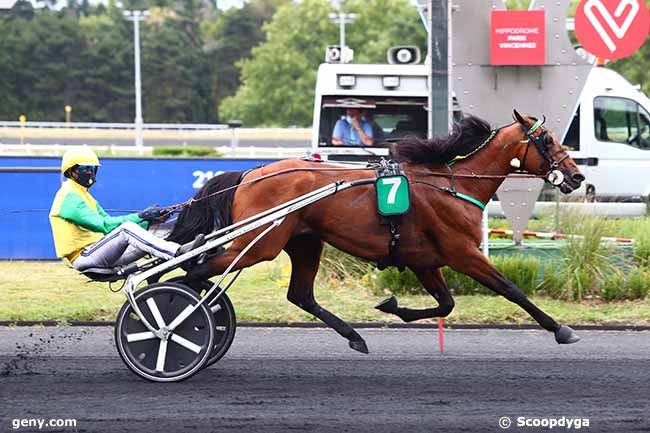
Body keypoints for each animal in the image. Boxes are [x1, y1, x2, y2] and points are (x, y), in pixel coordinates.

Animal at [166, 109, 584, 352]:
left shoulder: (424, 260)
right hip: (260, 245)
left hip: (304, 242)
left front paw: (392, 305)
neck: (453, 185)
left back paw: (354, 336)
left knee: (299, 294)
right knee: (196, 268)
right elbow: (511, 289)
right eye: (548, 139)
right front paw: (560, 328)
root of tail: (249, 173)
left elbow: (446, 304)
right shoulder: (462, 253)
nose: (577, 176)